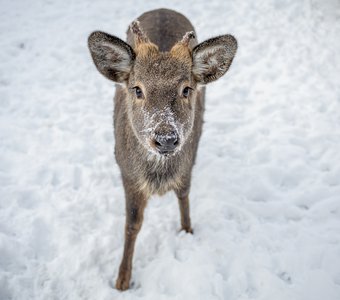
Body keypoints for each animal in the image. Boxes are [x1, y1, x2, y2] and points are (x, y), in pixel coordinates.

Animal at [87, 7, 236, 290]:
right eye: (137, 89)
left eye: (186, 89)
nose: (166, 137)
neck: (158, 178)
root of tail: (164, 9)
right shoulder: (128, 175)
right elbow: (132, 224)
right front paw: (122, 280)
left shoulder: (188, 164)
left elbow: (184, 198)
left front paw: (187, 232)